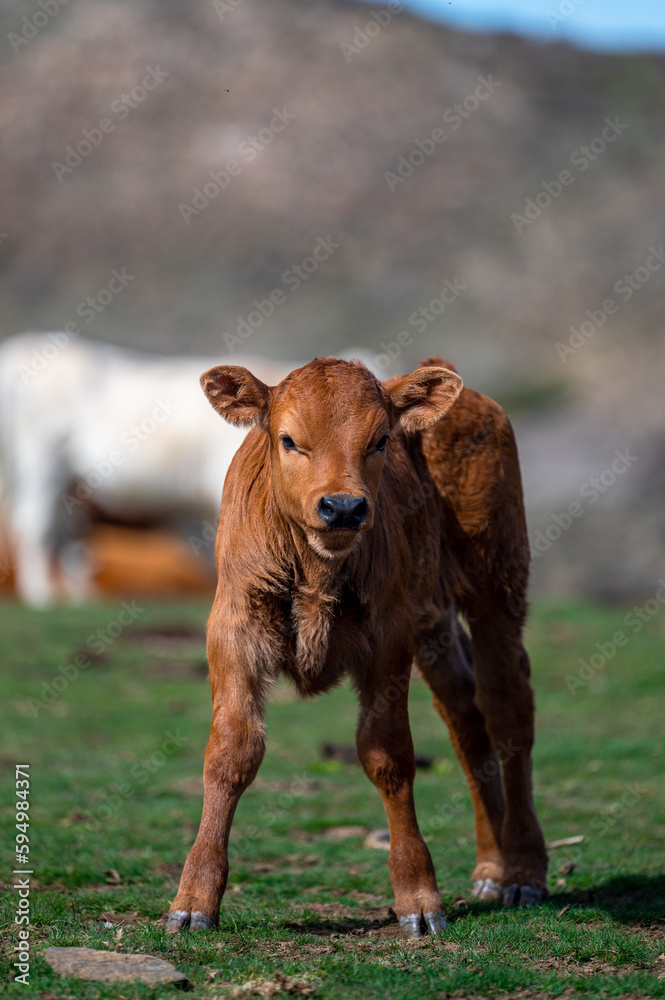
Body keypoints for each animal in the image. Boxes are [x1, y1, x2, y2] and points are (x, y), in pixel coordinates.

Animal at [168, 356, 548, 938]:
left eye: (381, 440)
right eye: (288, 439)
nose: (343, 508)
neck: (315, 571)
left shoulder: (389, 636)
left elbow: (387, 755)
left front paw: (419, 898)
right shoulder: (234, 630)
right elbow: (231, 754)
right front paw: (193, 901)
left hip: (497, 589)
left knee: (508, 713)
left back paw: (523, 872)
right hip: (435, 623)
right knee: (466, 715)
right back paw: (491, 866)